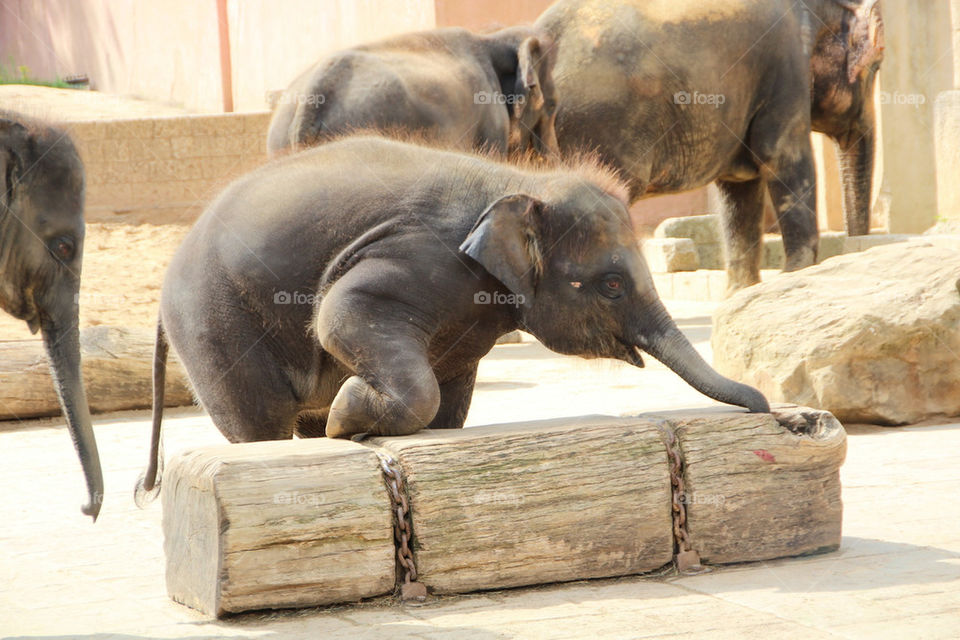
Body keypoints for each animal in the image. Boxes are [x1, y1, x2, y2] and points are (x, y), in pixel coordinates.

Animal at [137, 138, 764, 502]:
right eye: (611, 284)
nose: (764, 406)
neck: (518, 182)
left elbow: (451, 404)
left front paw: (353, 414)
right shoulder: (422, 256)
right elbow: (339, 311)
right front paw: (348, 418)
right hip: (216, 327)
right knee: (258, 423)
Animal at [536, 0, 880, 288]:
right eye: (875, 68)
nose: (856, 248)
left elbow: (740, 191)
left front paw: (743, 293)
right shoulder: (786, 71)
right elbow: (783, 159)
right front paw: (796, 274)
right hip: (595, 123)